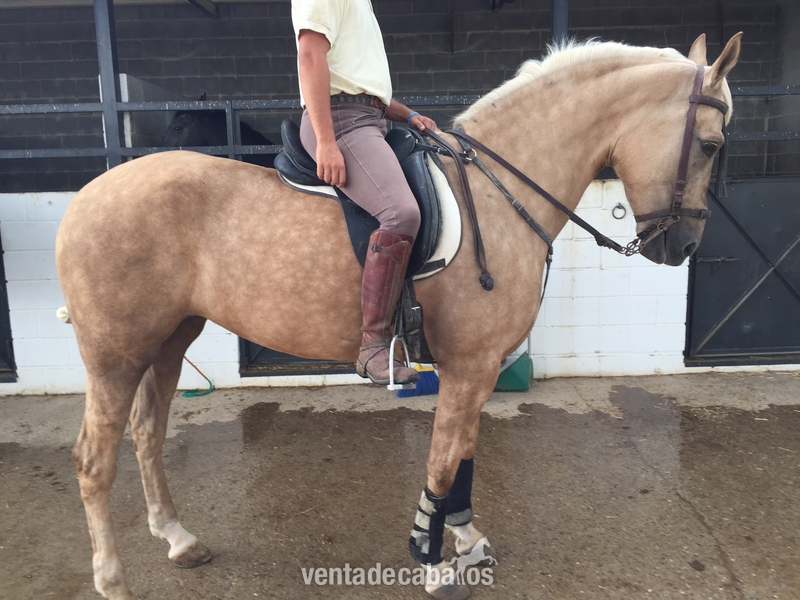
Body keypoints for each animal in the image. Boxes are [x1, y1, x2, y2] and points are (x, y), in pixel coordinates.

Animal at [56, 34, 740, 600]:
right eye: (711, 145)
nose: (682, 247)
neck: (497, 191)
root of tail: (85, 198)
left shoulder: (477, 368)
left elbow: (463, 456)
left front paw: (464, 537)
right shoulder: (469, 365)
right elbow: (443, 459)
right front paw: (432, 561)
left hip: (169, 341)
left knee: (147, 434)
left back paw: (178, 539)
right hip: (115, 355)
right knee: (93, 460)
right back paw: (112, 579)